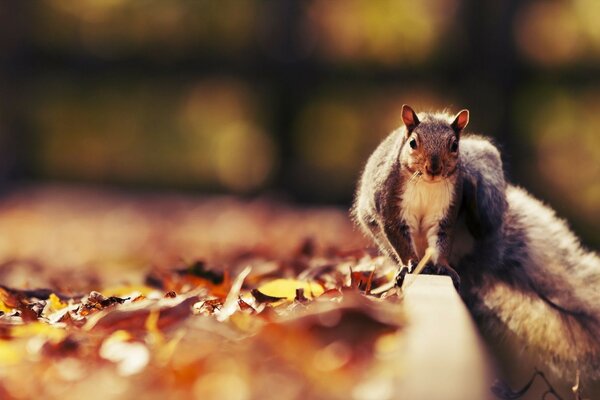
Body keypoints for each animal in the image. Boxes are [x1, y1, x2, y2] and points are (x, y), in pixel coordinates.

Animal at [352, 105, 600, 388]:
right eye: (413, 143)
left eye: (454, 146)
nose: (434, 168)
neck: (427, 183)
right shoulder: (390, 205)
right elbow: (399, 238)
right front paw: (411, 265)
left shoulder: (445, 214)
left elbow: (441, 242)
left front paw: (443, 267)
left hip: (488, 204)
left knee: (480, 222)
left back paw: (471, 200)